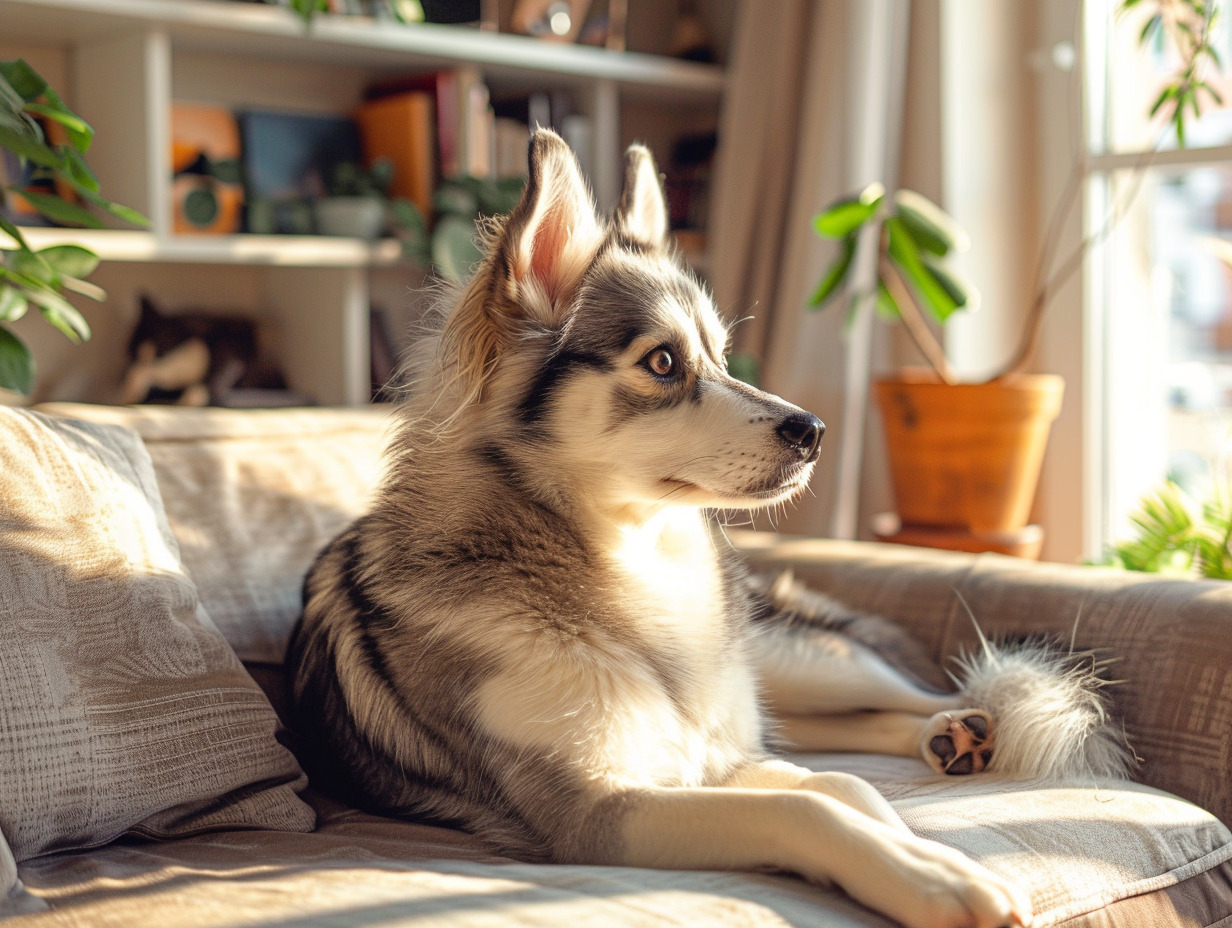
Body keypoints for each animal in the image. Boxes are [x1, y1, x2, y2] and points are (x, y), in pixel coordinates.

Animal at [285, 128, 1128, 926]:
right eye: (663, 362)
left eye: (722, 357)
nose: (814, 432)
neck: (631, 566)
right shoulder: (599, 812)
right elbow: (808, 808)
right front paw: (938, 882)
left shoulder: (719, 760)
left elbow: (843, 789)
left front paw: (933, 854)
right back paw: (950, 737)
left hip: (796, 661)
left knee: (925, 693)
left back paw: (965, 724)